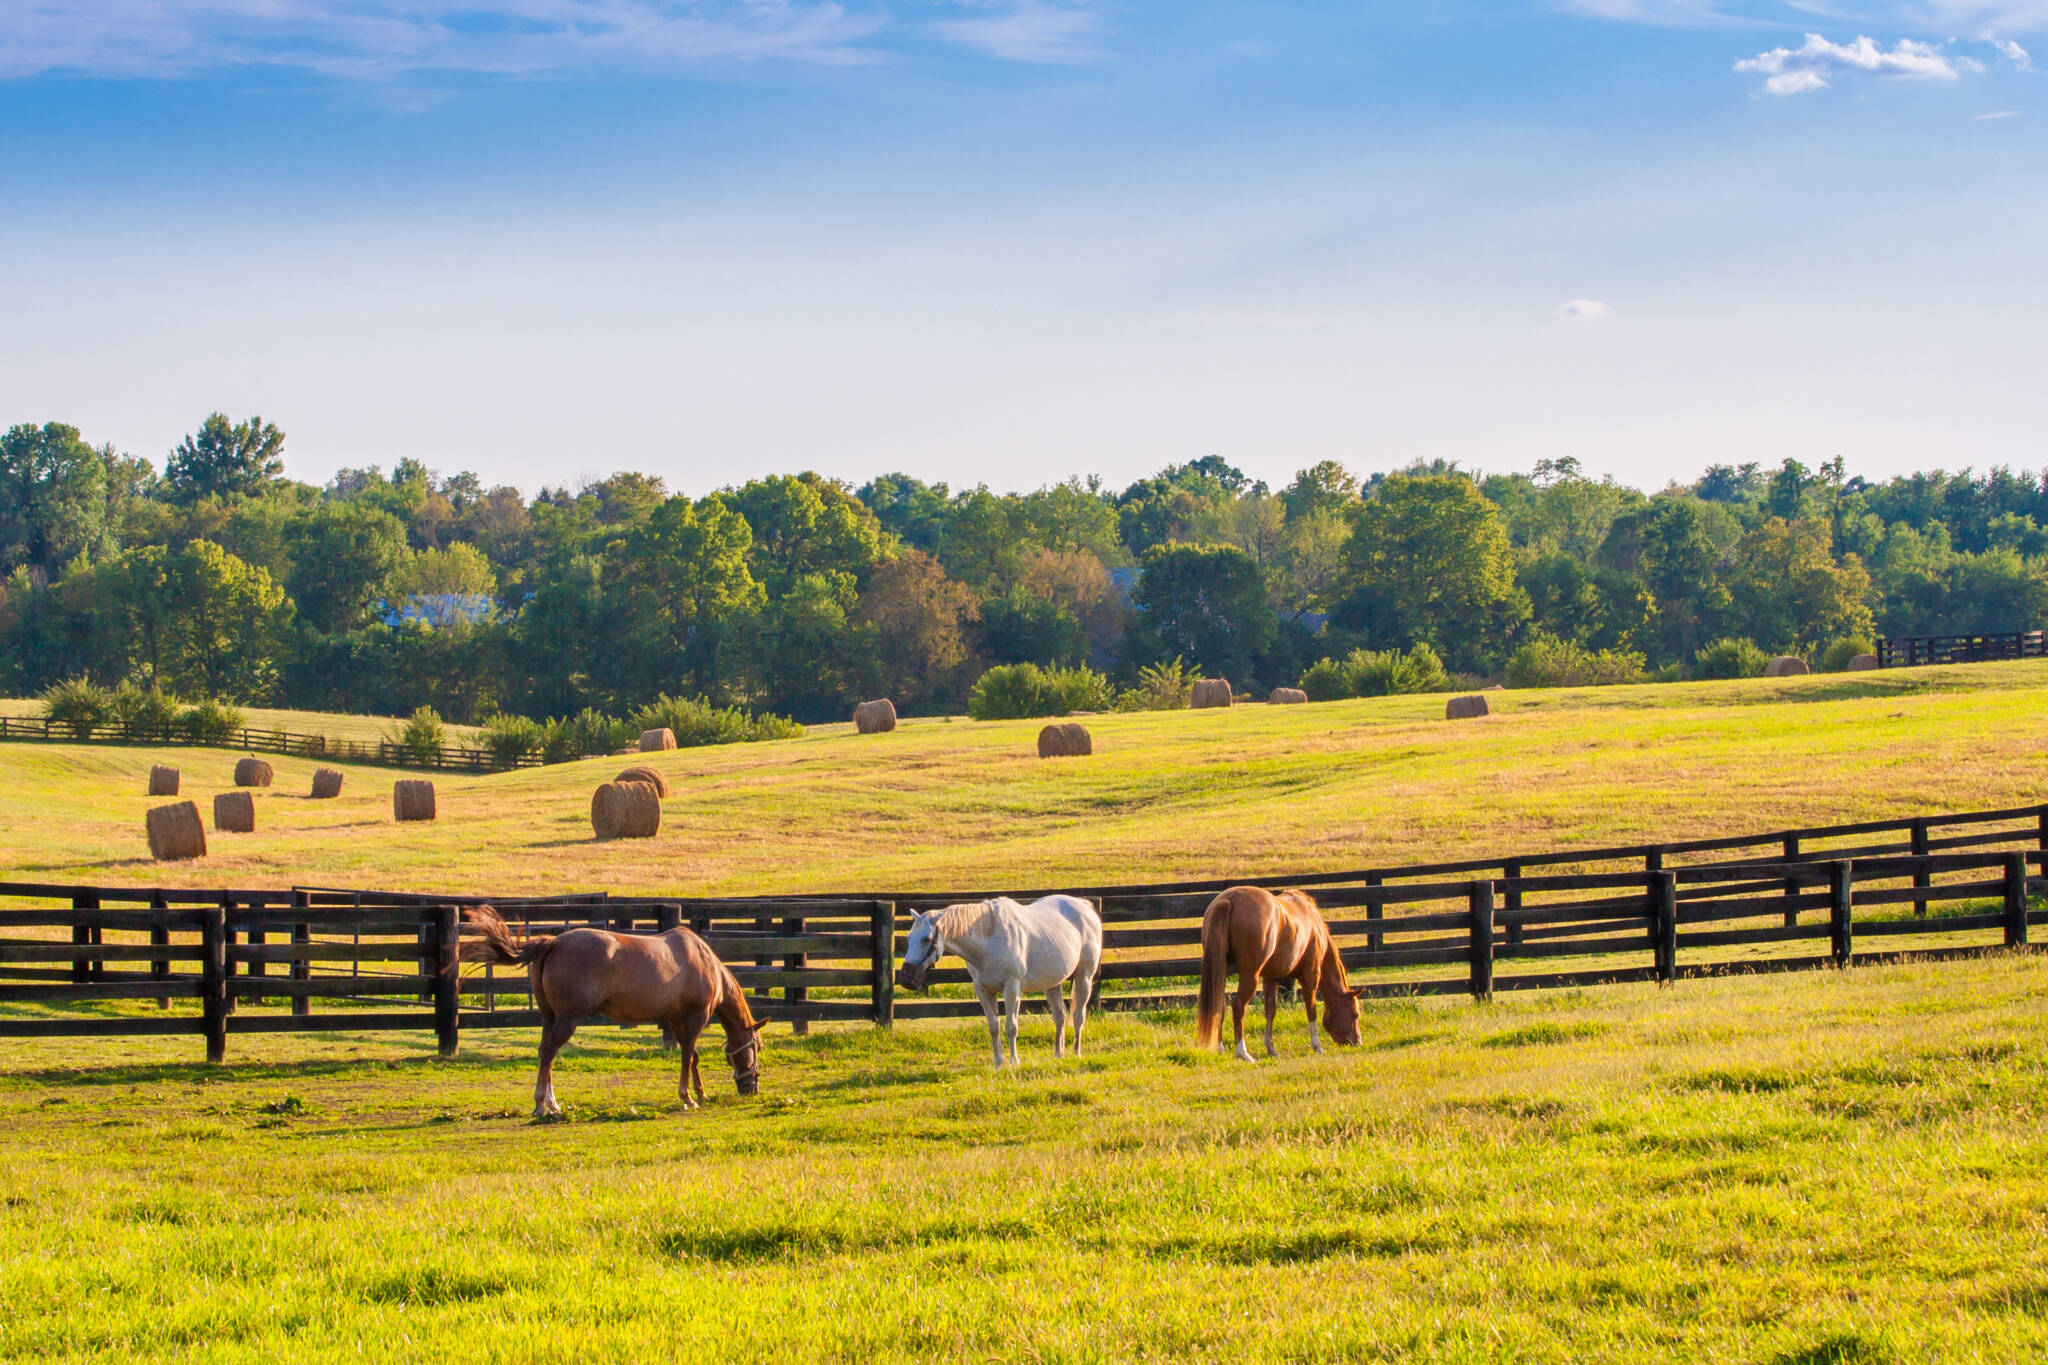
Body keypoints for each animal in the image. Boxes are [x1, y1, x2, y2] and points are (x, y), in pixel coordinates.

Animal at [460, 906, 763, 1116]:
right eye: (757, 1047)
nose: (752, 1089)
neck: (705, 961)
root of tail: (554, 943)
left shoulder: (677, 1020)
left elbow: (693, 1057)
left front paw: (701, 1094)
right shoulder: (693, 1018)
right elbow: (688, 1056)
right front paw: (687, 1097)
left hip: (550, 1018)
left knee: (546, 1052)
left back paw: (553, 1102)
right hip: (567, 1020)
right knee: (548, 1052)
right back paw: (540, 1104)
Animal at [897, 895, 1103, 1066]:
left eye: (926, 939)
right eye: (908, 937)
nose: (907, 978)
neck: (989, 938)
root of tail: (1083, 906)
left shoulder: (1011, 988)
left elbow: (1011, 1027)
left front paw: (1014, 1061)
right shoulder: (982, 990)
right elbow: (994, 1027)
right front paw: (998, 1062)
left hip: (1084, 976)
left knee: (1078, 1016)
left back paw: (1076, 1053)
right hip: (1052, 984)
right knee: (1059, 1017)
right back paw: (1058, 1054)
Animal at [1194, 886, 1363, 1061]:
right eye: (1355, 1014)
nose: (1357, 1042)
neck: (1313, 923)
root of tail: (1228, 900)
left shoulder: (1270, 977)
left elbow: (1270, 1010)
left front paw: (1271, 1048)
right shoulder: (1311, 976)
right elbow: (1311, 1009)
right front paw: (1317, 1046)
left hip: (1222, 969)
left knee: (1219, 1006)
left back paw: (1220, 1048)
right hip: (1249, 975)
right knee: (1238, 1006)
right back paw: (1243, 1052)